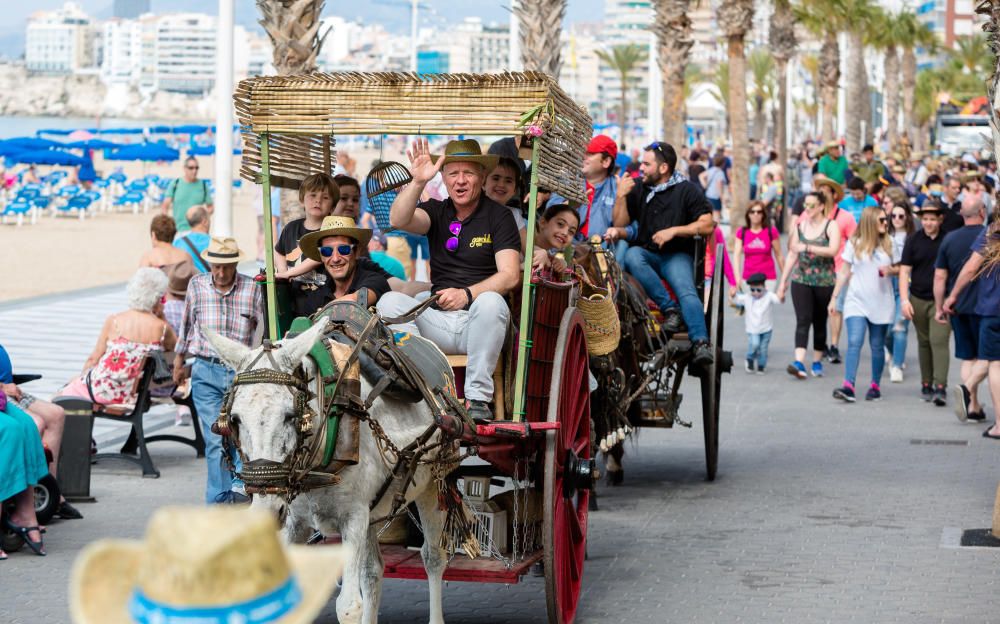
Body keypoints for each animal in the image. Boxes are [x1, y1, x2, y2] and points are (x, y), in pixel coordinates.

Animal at [207, 322, 450, 624]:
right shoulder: (296, 522)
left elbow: (348, 606)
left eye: (290, 415)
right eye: (235, 418)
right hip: (373, 511)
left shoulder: (353, 516)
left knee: (433, 557)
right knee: (372, 572)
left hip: (433, 485)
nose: (266, 509)